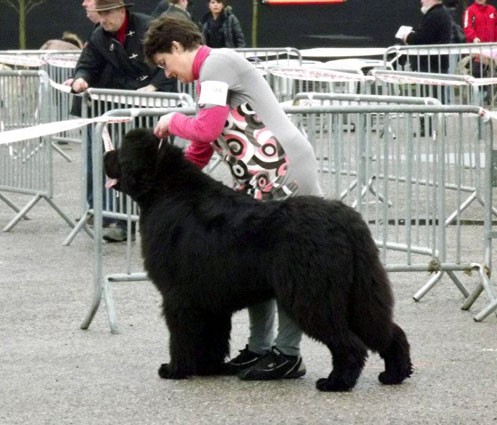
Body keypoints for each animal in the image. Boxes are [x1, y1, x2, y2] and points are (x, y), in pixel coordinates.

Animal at [105, 128, 414, 390]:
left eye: (121, 152)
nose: (105, 156)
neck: (166, 191)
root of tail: (348, 221)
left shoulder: (178, 297)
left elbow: (182, 337)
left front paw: (176, 369)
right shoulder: (209, 299)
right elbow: (212, 337)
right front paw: (209, 368)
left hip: (312, 297)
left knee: (350, 343)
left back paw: (336, 382)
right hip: (360, 292)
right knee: (387, 330)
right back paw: (394, 374)